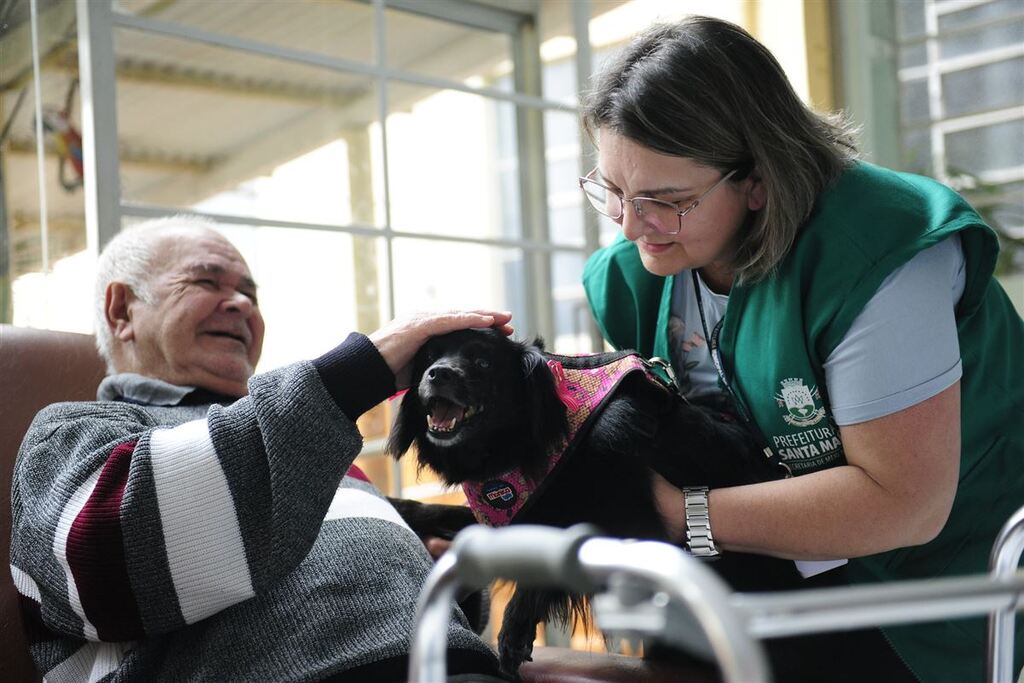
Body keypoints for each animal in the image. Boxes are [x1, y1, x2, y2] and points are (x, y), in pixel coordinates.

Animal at [385, 327, 798, 675]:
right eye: (427, 358)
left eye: (483, 362)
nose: (438, 373)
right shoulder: (517, 513)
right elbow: (446, 513)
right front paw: (399, 507)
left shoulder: (631, 524)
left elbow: (556, 554)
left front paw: (515, 626)